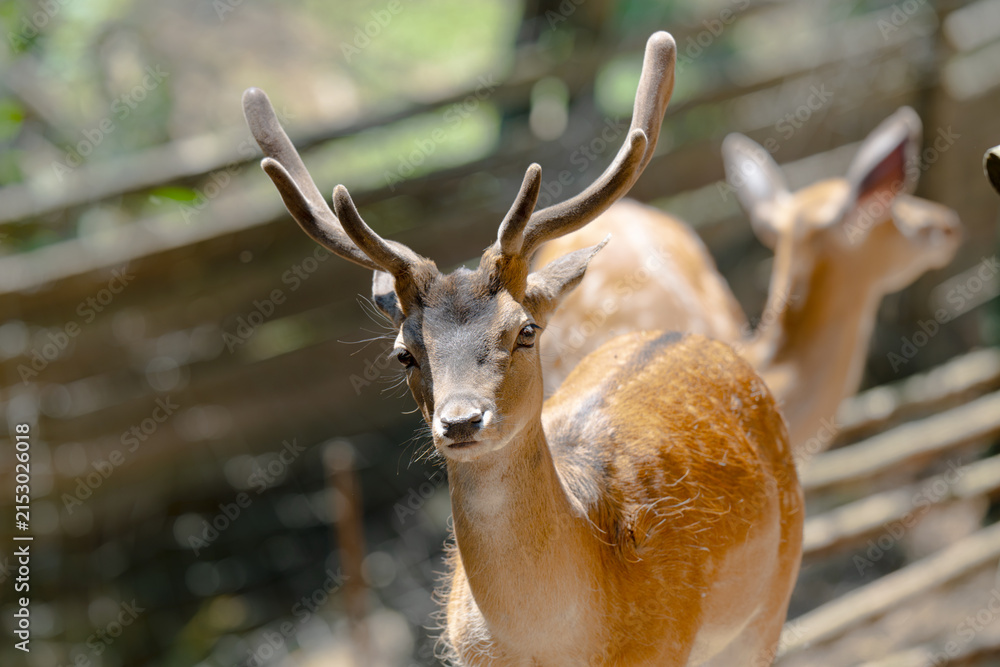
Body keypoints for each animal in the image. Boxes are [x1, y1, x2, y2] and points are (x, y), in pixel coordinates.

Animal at [244, 31, 804, 667]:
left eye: (525, 330)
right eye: (404, 353)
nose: (461, 421)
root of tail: (690, 339)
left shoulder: (665, 647)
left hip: (774, 590)